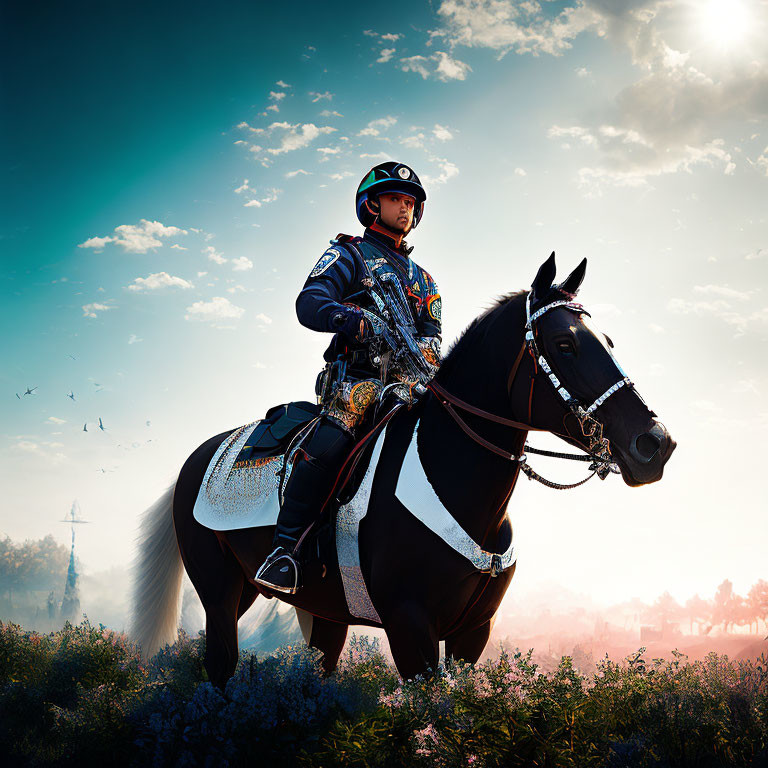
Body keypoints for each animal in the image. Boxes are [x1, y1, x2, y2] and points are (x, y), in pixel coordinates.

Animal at [134, 255, 680, 688]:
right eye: (565, 344)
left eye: (607, 340)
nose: (655, 444)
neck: (455, 482)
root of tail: (197, 458)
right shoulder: (409, 628)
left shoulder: (471, 634)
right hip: (222, 593)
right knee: (220, 668)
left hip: (322, 611)